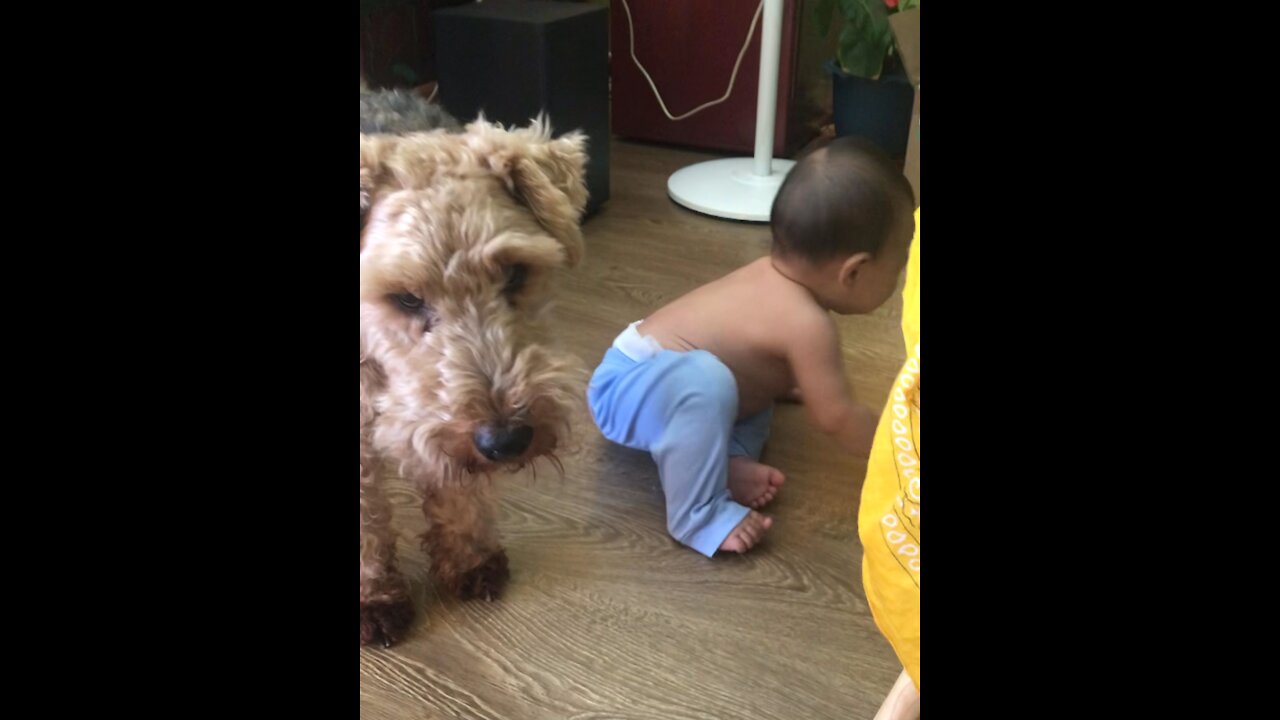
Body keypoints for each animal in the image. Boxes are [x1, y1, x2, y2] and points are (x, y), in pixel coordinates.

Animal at [355, 117, 586, 645]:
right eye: (405, 298)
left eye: (515, 273)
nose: (507, 439)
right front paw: (375, 599)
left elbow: (457, 489)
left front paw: (471, 561)